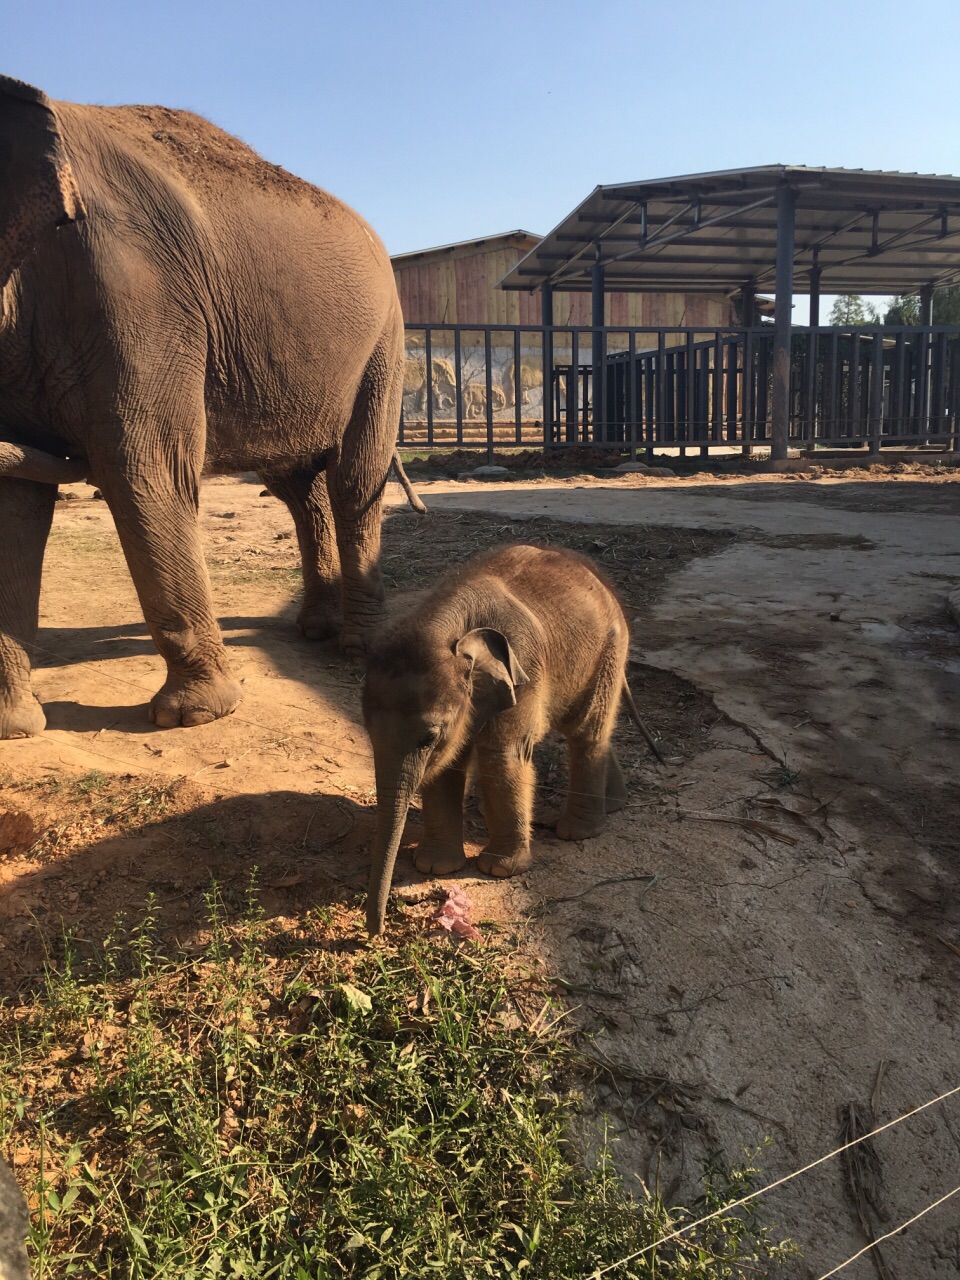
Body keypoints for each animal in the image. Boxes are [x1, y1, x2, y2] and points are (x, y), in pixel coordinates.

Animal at [1, 77, 419, 742]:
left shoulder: (134, 298)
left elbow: (145, 471)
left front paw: (193, 716)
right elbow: (17, 499)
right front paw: (14, 729)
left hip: (384, 345)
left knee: (355, 478)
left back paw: (358, 647)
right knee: (301, 488)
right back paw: (317, 629)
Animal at [360, 545, 660, 936]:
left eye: (428, 738)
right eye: (367, 729)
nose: (376, 931)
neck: (451, 626)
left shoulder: (524, 671)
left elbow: (502, 754)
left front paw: (499, 870)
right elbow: (448, 766)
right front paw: (435, 867)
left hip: (608, 650)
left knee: (586, 731)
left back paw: (578, 833)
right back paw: (613, 807)